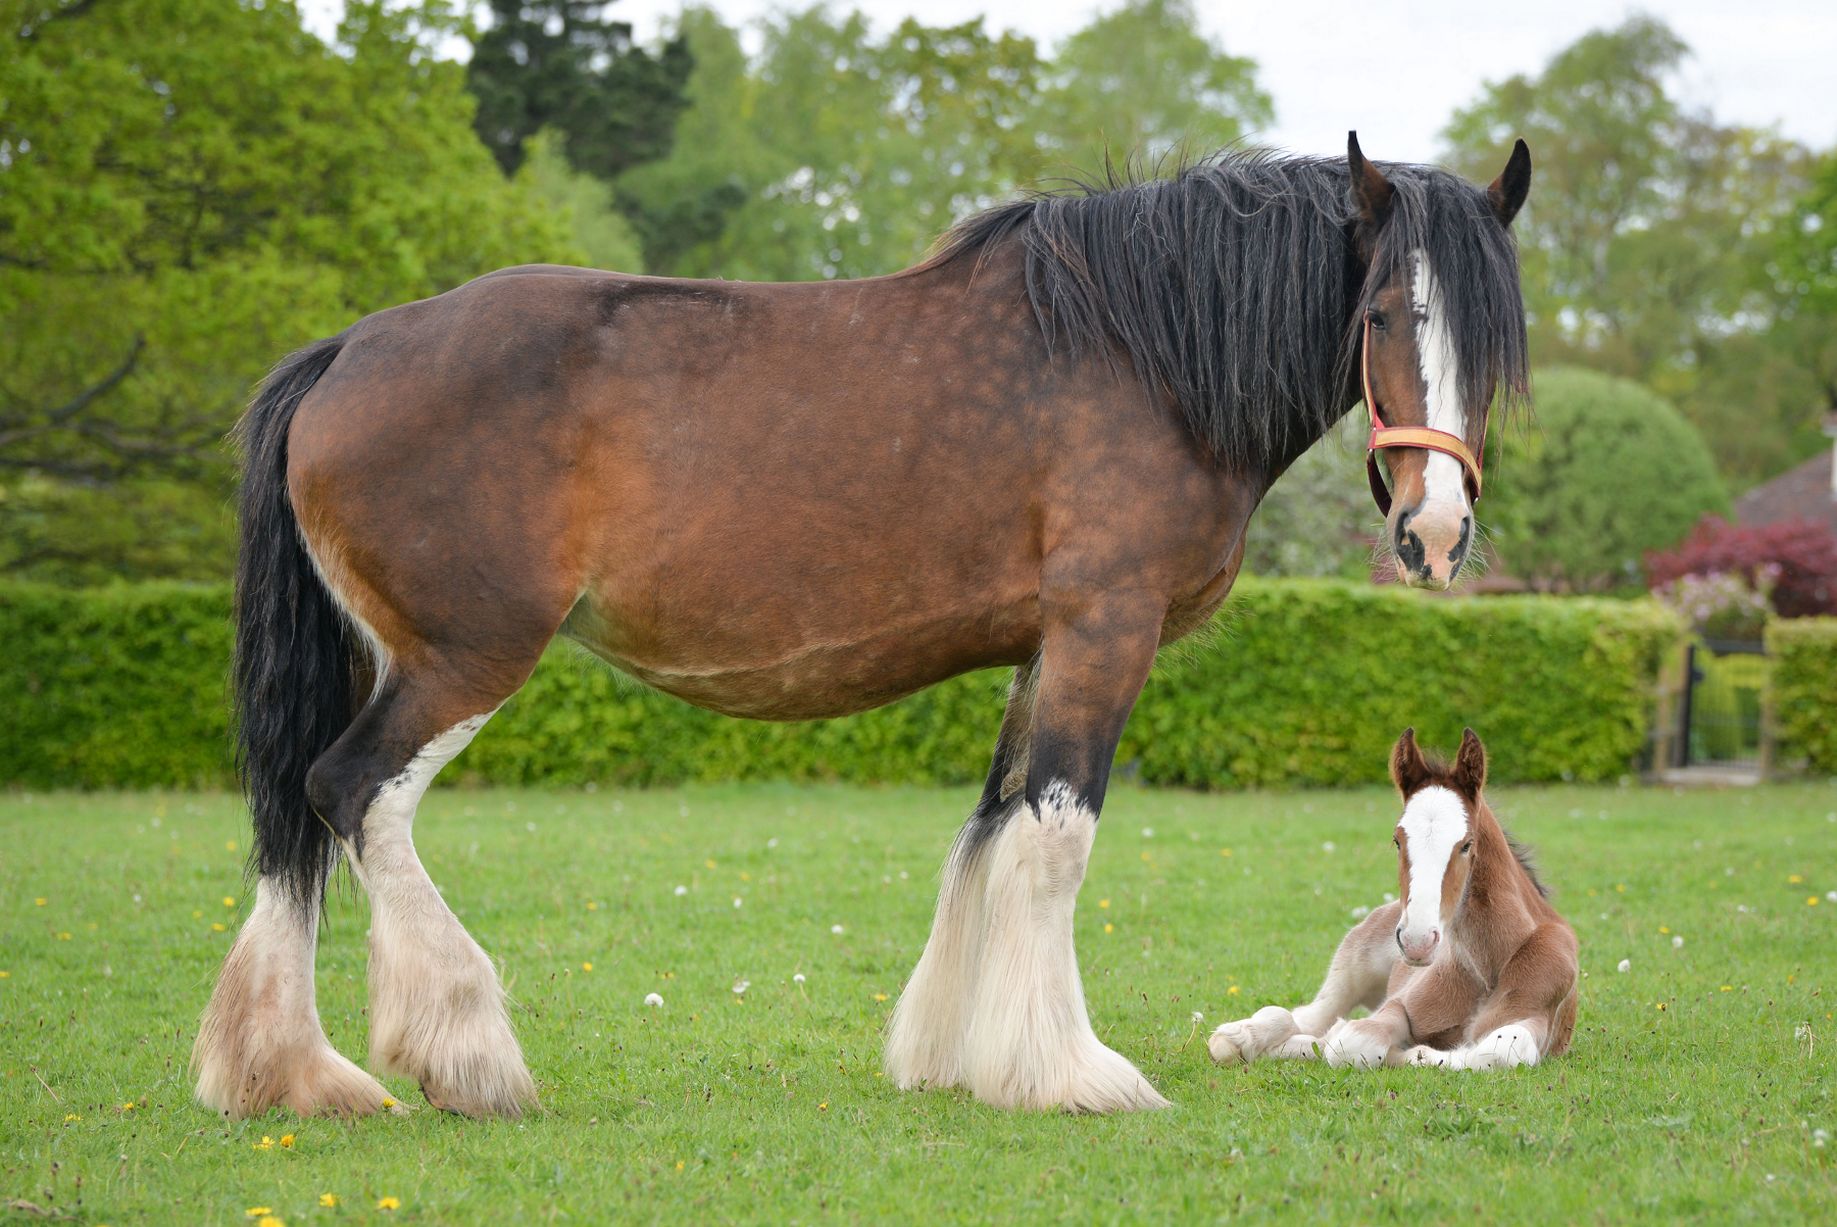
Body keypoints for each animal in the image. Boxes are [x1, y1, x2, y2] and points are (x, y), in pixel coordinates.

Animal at [193, 136, 1528, 1124]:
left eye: (1496, 339)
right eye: (1379, 312)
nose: (1435, 531)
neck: (1140, 355)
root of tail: (347, 352)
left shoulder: (1038, 653)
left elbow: (990, 833)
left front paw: (960, 1056)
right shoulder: (1103, 634)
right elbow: (1054, 844)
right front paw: (1068, 1071)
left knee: (294, 830)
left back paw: (291, 1074)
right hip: (462, 658)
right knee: (349, 793)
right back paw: (463, 1053)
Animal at [1212, 734, 1587, 1065]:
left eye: (1466, 844)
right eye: (1397, 840)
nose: (1417, 941)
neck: (1488, 968)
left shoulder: (1535, 1018)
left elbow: (1498, 1050)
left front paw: (1417, 1053)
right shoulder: (1398, 1004)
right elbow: (1352, 1041)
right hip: (1352, 967)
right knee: (1305, 1016)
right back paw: (1237, 1037)